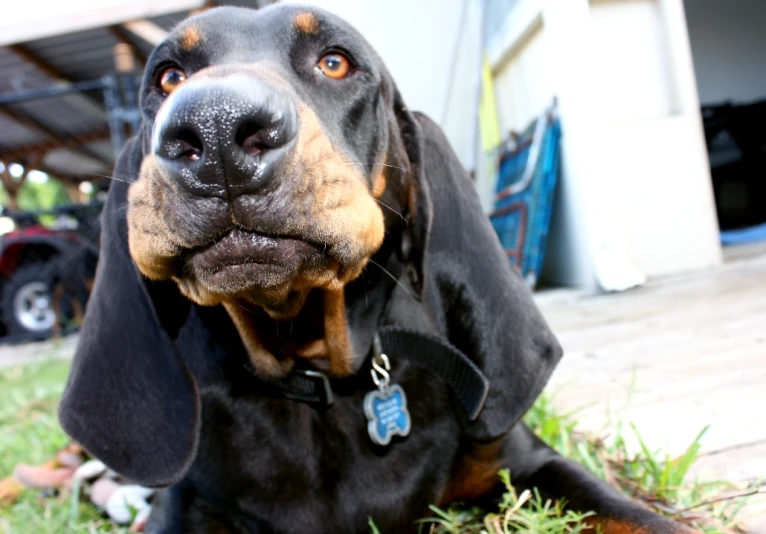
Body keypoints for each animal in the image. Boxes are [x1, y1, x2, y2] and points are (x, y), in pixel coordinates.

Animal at [58, 5, 696, 534]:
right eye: (167, 77)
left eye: (335, 62)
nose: (214, 130)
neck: (318, 375)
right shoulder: (188, 509)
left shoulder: (529, 464)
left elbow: (642, 520)